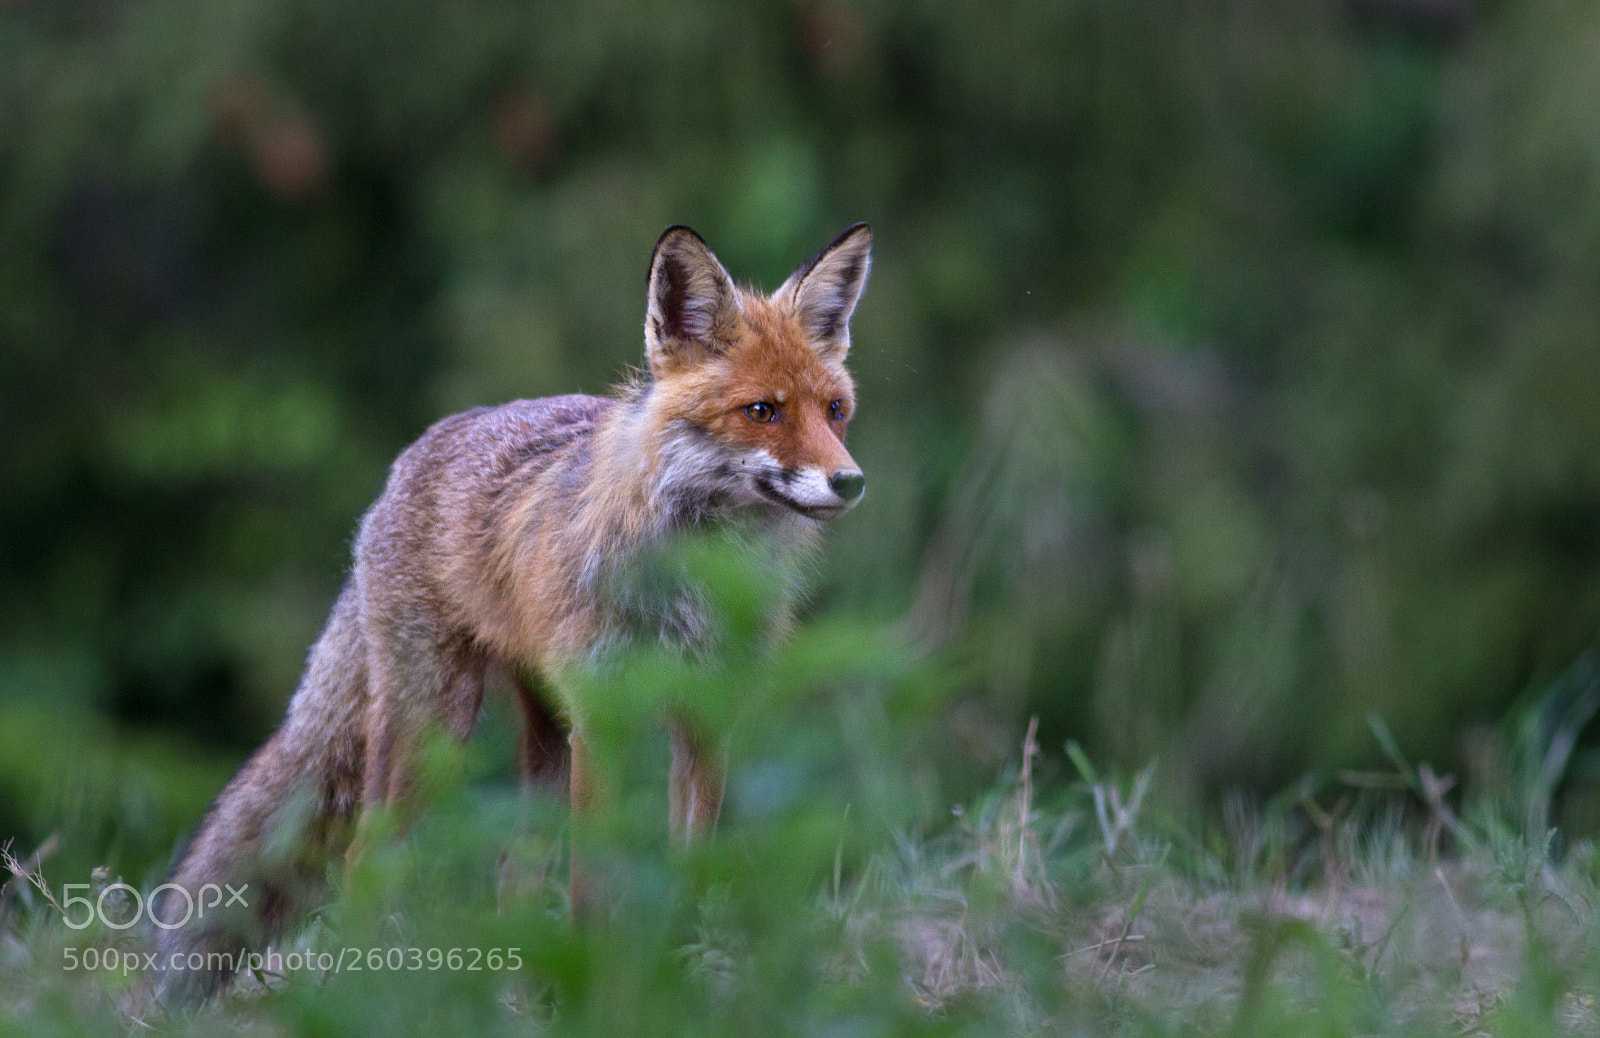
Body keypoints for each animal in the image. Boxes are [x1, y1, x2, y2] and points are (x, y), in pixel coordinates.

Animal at [152, 223, 872, 1002]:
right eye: (762, 411)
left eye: (834, 411)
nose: (850, 481)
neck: (694, 587)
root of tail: (409, 459)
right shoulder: (603, 718)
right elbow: (593, 881)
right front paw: (597, 991)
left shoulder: (707, 715)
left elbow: (690, 864)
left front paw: (681, 974)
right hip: (435, 728)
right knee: (365, 859)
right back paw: (372, 994)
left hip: (543, 746)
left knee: (512, 873)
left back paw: (511, 992)